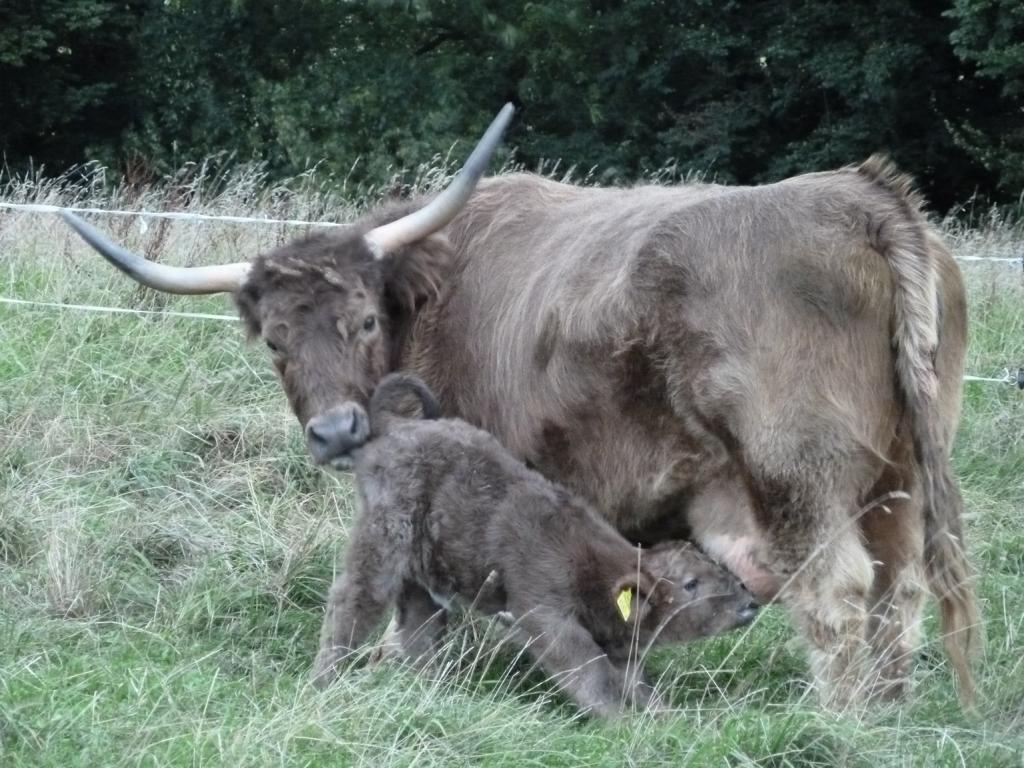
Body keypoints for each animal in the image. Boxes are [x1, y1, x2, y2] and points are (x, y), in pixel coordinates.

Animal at [307, 374, 757, 720]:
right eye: (690, 584)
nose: (749, 603)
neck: (595, 565)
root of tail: (396, 430)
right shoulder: (546, 618)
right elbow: (590, 674)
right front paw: (619, 722)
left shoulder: (621, 646)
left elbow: (637, 681)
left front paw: (665, 717)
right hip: (381, 547)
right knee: (351, 604)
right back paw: (323, 681)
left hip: (424, 581)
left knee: (418, 631)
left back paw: (432, 691)